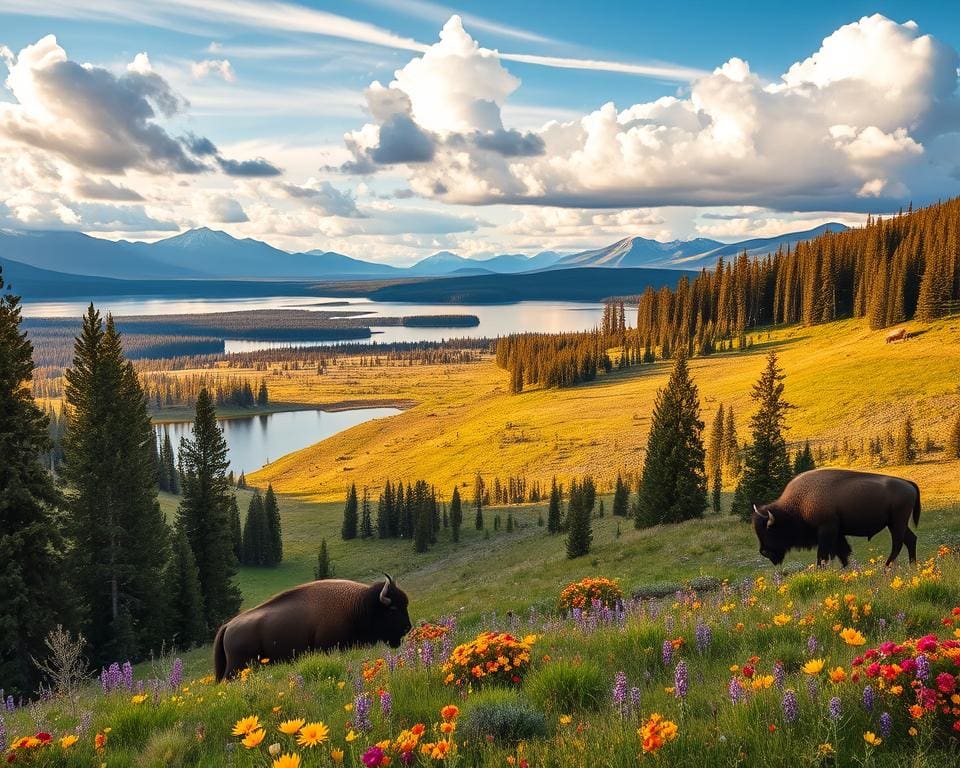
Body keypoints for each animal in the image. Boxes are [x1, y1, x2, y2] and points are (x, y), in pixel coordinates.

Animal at [752, 464, 920, 568]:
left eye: (770, 531)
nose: (764, 552)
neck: (798, 504)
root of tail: (908, 483)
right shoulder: (838, 533)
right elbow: (842, 553)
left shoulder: (827, 530)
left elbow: (823, 555)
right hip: (896, 523)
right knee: (910, 539)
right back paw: (912, 565)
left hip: (897, 522)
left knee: (898, 543)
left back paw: (887, 566)